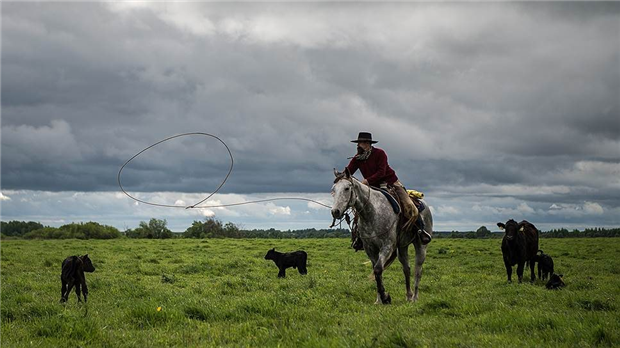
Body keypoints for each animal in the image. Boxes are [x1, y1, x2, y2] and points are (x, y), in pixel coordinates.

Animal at [332, 170, 434, 304]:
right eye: (333, 189)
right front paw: (379, 300)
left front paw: (385, 298)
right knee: (406, 269)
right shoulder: (370, 248)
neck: (372, 212)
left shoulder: (387, 246)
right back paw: (408, 295)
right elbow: (376, 272)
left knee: (418, 270)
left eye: (347, 188)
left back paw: (415, 298)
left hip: (421, 246)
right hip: (402, 247)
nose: (335, 211)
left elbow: (378, 269)